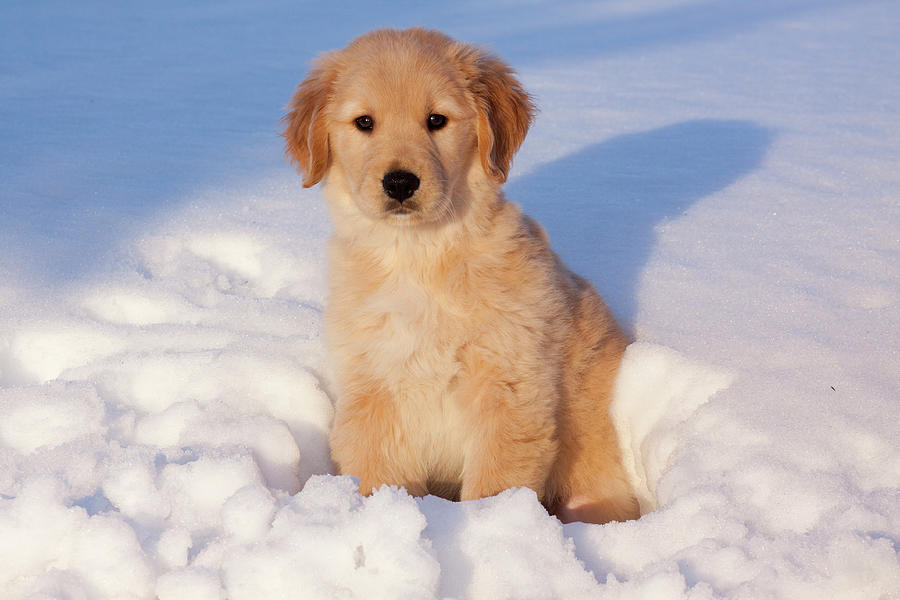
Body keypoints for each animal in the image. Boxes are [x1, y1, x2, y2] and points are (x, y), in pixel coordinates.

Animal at [284, 29, 640, 524]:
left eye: (437, 120)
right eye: (364, 122)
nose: (399, 183)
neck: (420, 256)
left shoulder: (508, 388)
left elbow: (495, 482)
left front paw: (486, 526)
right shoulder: (374, 387)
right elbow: (376, 469)